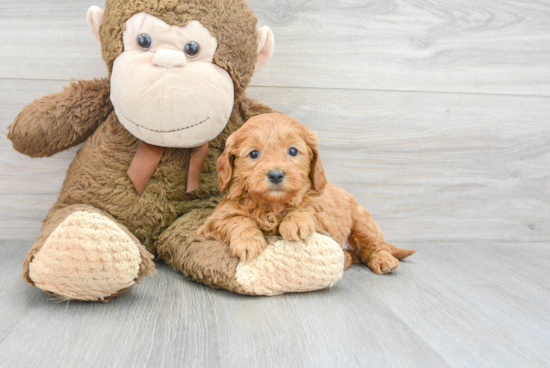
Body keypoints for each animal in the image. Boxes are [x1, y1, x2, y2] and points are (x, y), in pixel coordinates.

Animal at [201, 112, 416, 274]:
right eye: (254, 154)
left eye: (293, 151)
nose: (276, 175)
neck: (273, 205)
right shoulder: (216, 219)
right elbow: (237, 220)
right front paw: (248, 241)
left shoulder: (324, 215)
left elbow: (307, 207)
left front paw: (295, 222)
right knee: (356, 255)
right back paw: (346, 259)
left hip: (362, 221)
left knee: (375, 245)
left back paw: (384, 260)